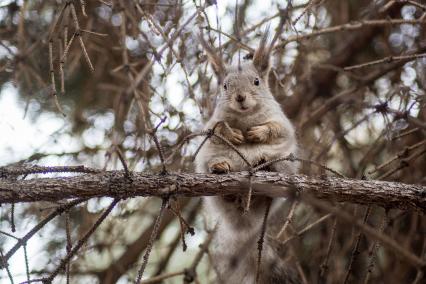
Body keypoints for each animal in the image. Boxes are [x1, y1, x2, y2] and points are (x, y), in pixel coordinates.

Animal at [196, 33, 300, 284]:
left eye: (256, 82)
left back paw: (263, 167)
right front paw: (232, 134)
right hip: (208, 159)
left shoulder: (282, 123)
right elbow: (218, 128)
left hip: (284, 162)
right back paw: (221, 169)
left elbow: (275, 129)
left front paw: (257, 133)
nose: (240, 97)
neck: (245, 117)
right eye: (224, 86)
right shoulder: (210, 127)